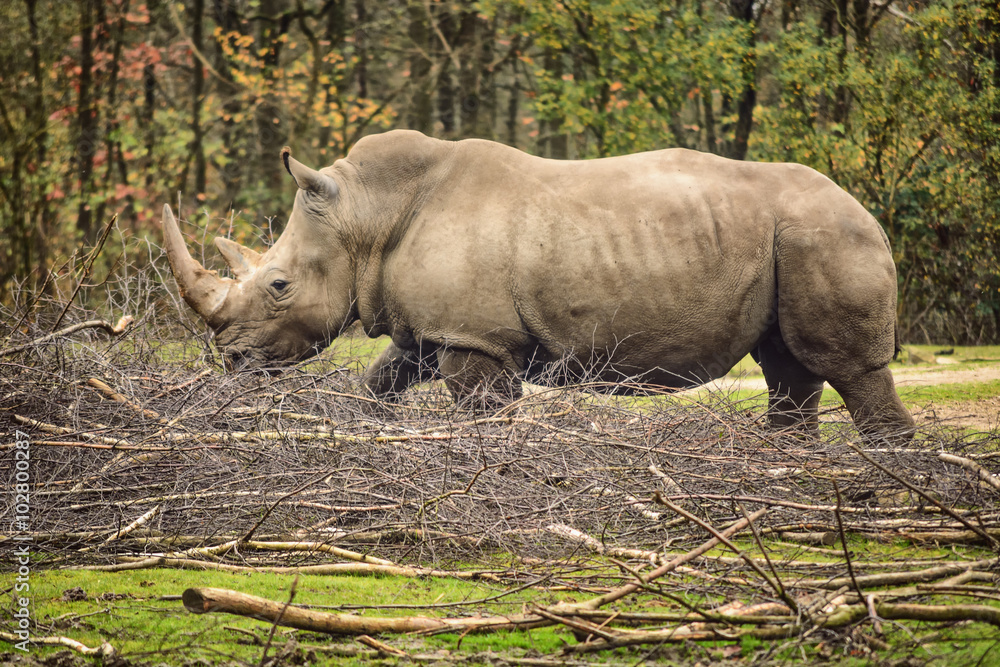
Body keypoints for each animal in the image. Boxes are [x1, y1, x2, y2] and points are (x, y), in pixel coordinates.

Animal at [162, 129, 916, 441]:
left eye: (279, 285)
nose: (231, 358)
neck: (364, 215)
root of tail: (869, 214)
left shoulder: (476, 338)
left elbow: (484, 411)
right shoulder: (433, 328)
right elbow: (383, 379)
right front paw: (375, 430)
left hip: (825, 234)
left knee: (849, 367)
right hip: (793, 238)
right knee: (788, 366)